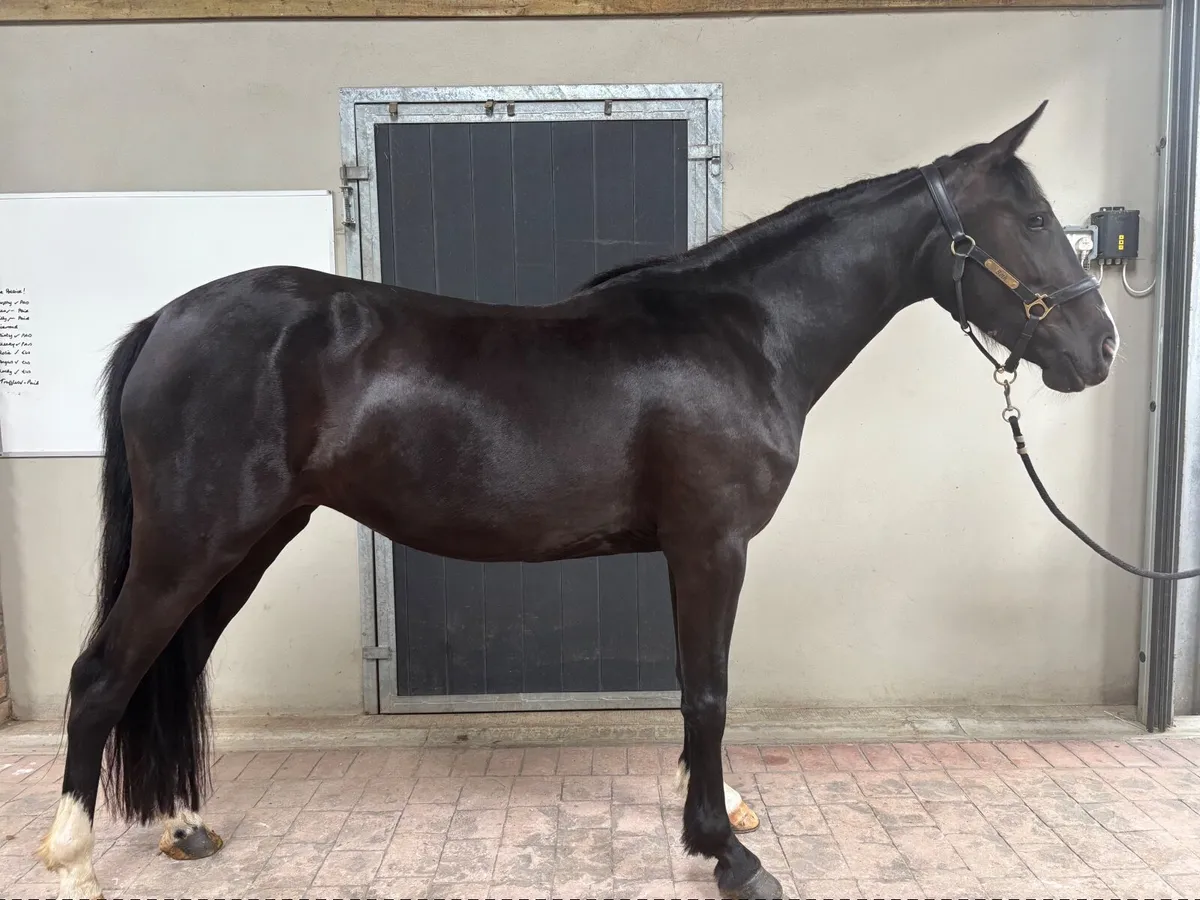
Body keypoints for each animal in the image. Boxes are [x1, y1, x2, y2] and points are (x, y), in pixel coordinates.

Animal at [36, 99, 1116, 899]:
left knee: (172, 666)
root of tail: (168, 319)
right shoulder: (712, 543)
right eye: (1030, 220)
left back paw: (186, 825)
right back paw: (72, 860)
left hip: (249, 539)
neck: (746, 334)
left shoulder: (691, 551)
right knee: (104, 673)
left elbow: (693, 686)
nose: (1098, 348)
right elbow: (711, 688)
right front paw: (728, 852)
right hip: (193, 541)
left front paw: (719, 814)